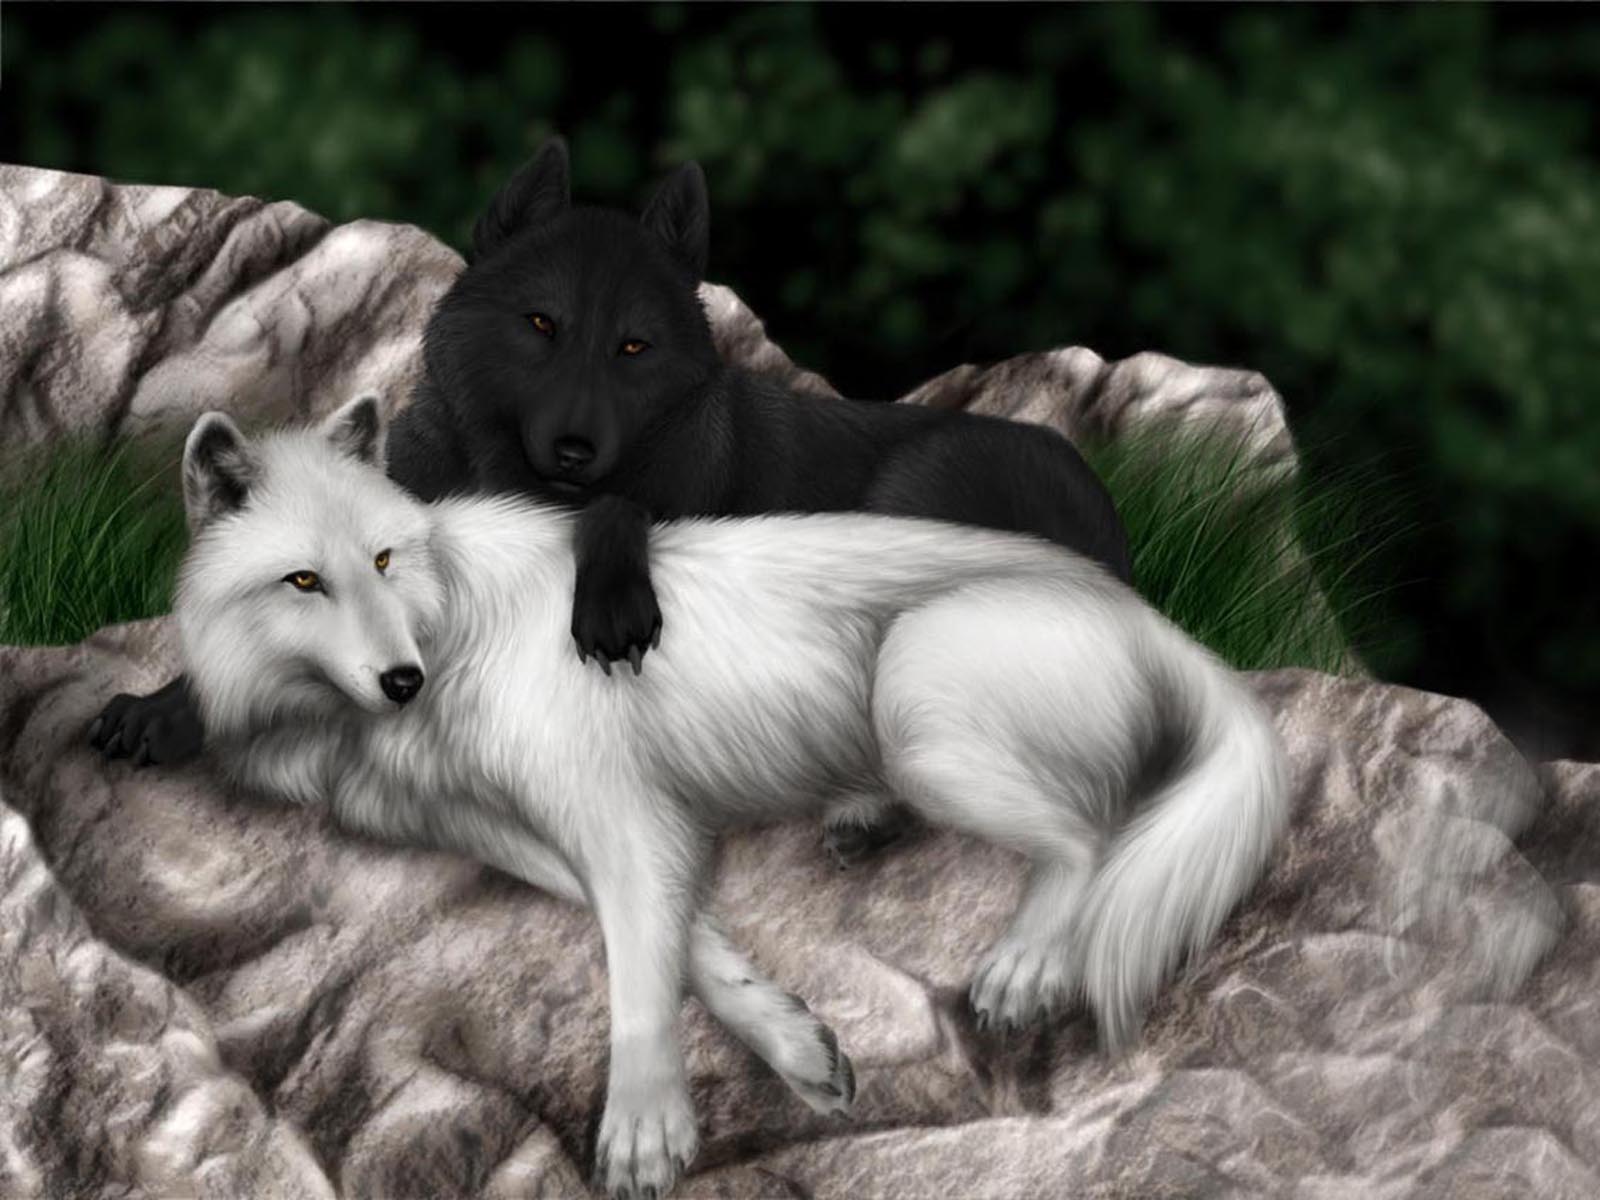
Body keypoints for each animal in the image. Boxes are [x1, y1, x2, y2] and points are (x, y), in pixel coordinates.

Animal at [94, 137, 1130, 865]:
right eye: (541, 325)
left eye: (633, 346)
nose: (576, 450)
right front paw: (162, 707)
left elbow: (620, 510)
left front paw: (613, 602)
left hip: (912, 504)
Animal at [176, 396, 1288, 1199]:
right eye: (305, 582)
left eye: (383, 559)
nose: (402, 680)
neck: (449, 621)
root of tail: (1152, 618)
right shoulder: (522, 834)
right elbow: (690, 944)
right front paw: (796, 1045)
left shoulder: (619, 818)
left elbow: (637, 968)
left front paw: (644, 1131)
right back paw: (861, 821)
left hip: (916, 698)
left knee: (1090, 836)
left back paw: (1022, 968)